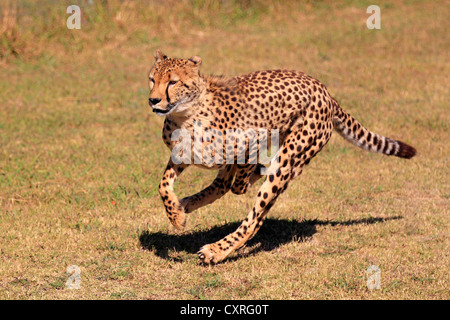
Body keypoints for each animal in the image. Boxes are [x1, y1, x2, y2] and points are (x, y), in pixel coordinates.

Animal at [147, 50, 414, 264]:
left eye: (173, 82)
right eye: (152, 79)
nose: (153, 99)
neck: (186, 116)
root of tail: (323, 88)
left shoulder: (253, 140)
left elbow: (240, 181)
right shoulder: (181, 155)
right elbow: (163, 185)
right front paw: (176, 216)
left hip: (289, 158)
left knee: (253, 217)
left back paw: (216, 249)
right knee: (222, 185)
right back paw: (186, 204)